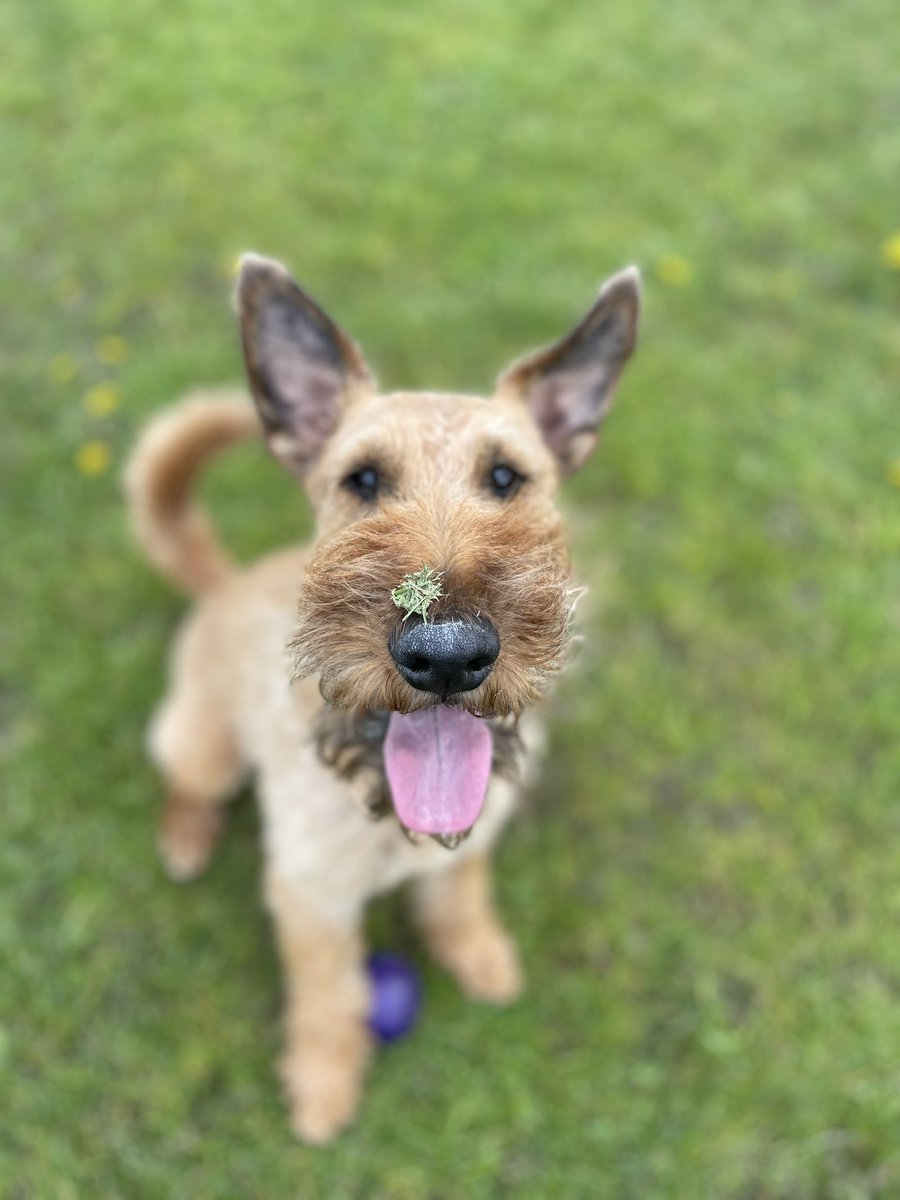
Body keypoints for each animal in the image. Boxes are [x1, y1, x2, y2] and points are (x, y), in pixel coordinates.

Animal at [125, 255, 643, 1142]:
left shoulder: (470, 841)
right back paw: (187, 836)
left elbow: (460, 897)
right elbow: (332, 995)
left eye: (506, 477)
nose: (446, 657)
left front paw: (482, 958)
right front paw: (324, 1088)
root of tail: (224, 583)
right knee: (187, 784)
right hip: (202, 743)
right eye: (362, 480)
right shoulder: (311, 897)